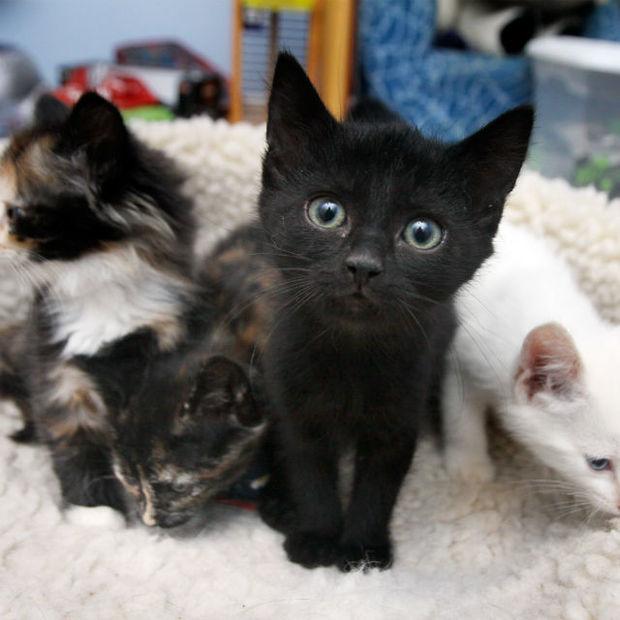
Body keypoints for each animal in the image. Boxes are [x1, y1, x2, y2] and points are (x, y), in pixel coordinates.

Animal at [0, 91, 202, 508]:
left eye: (16, 212)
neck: (96, 281)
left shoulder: (164, 340)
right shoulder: (56, 366)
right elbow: (73, 443)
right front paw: (95, 513)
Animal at [256, 53, 532, 572]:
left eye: (422, 233)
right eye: (327, 212)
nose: (363, 265)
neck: (351, 353)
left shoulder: (401, 411)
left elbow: (380, 484)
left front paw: (362, 550)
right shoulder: (293, 402)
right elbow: (310, 471)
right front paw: (318, 537)